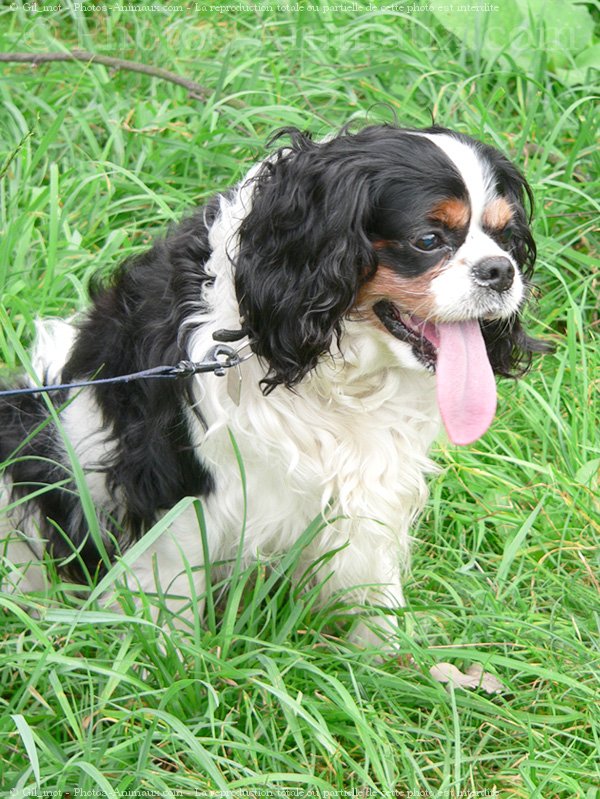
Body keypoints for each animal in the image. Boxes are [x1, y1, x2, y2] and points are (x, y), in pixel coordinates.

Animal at [0, 123, 548, 648]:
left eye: (505, 235)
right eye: (429, 240)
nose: (501, 271)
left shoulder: (373, 484)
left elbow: (375, 587)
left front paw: (391, 661)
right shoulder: (179, 491)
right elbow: (170, 594)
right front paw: (169, 662)